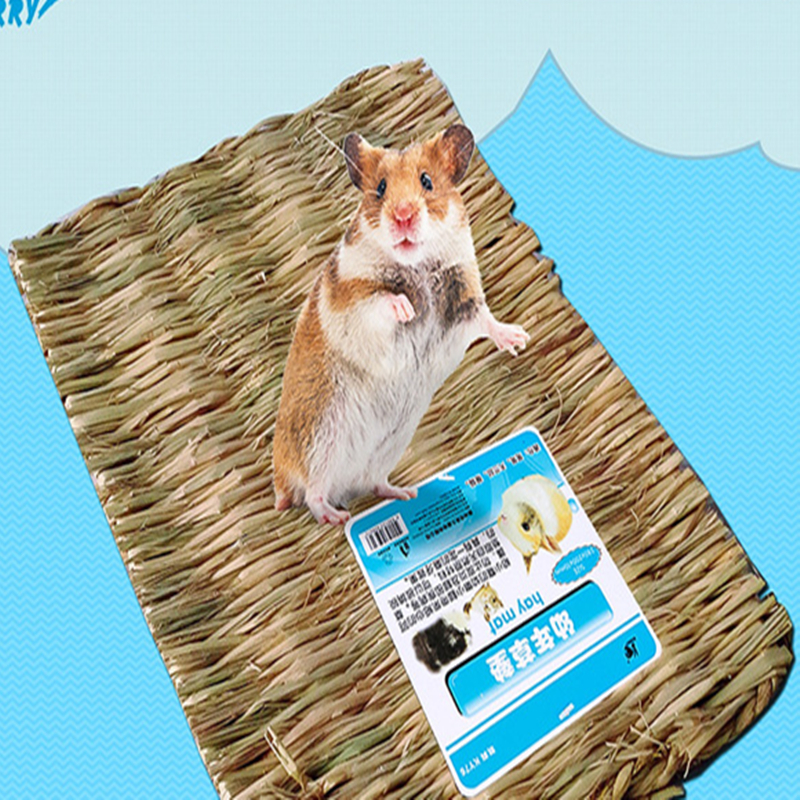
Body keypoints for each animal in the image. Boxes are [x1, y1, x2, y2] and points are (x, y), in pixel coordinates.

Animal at [272, 124, 529, 525]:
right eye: (380, 188)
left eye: (427, 181)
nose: (403, 216)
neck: (417, 264)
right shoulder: (353, 299)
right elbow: (381, 301)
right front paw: (407, 309)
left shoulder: (464, 294)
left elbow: (486, 319)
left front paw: (518, 339)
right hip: (321, 438)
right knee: (313, 494)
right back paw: (336, 516)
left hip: (386, 446)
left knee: (373, 484)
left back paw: (406, 494)